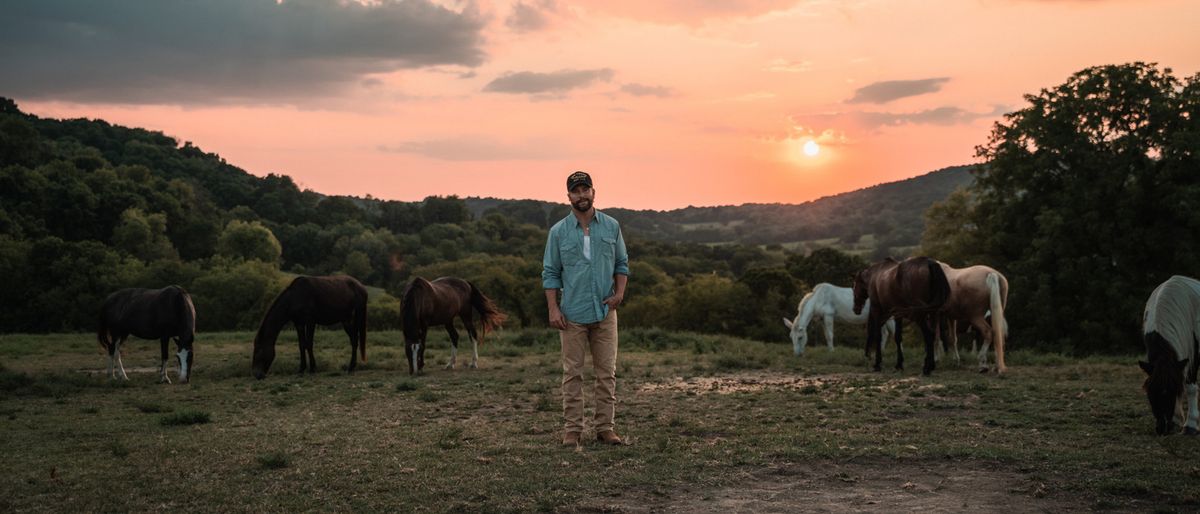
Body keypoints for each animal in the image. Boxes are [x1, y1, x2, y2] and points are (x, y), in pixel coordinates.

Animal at [1132, 275, 1200, 434]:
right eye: (1150, 392)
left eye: (1173, 390)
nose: (1162, 429)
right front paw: (1176, 419)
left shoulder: (1193, 353)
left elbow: (1190, 388)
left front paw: (1190, 425)